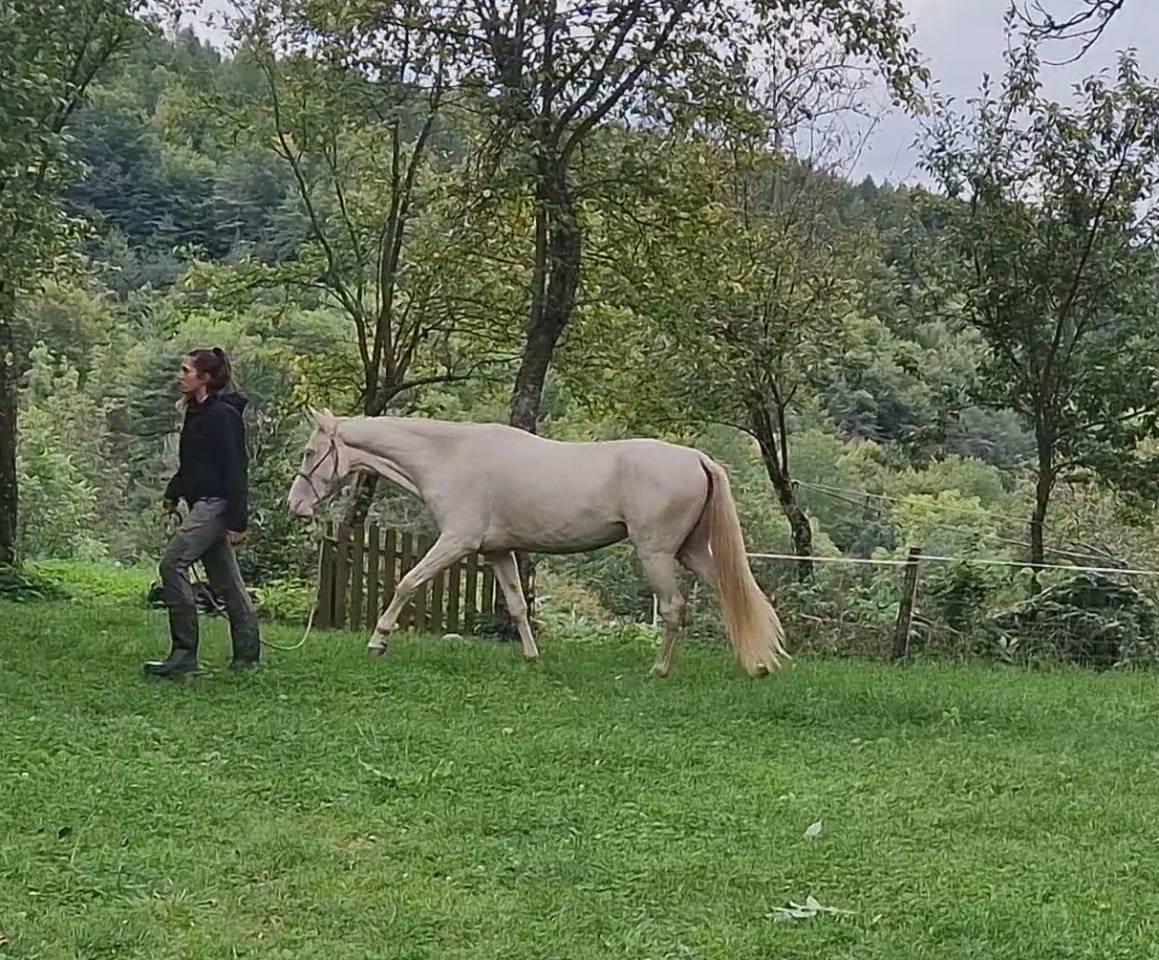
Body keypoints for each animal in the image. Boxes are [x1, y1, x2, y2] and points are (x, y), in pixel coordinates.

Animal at [287, 409, 788, 678]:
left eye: (310, 453)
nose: (296, 506)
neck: (449, 456)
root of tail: (698, 458)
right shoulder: (496, 552)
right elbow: (516, 605)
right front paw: (531, 657)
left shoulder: (457, 542)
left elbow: (408, 582)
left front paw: (378, 641)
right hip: (690, 552)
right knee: (732, 595)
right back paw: (756, 663)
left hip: (658, 554)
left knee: (674, 609)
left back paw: (660, 670)